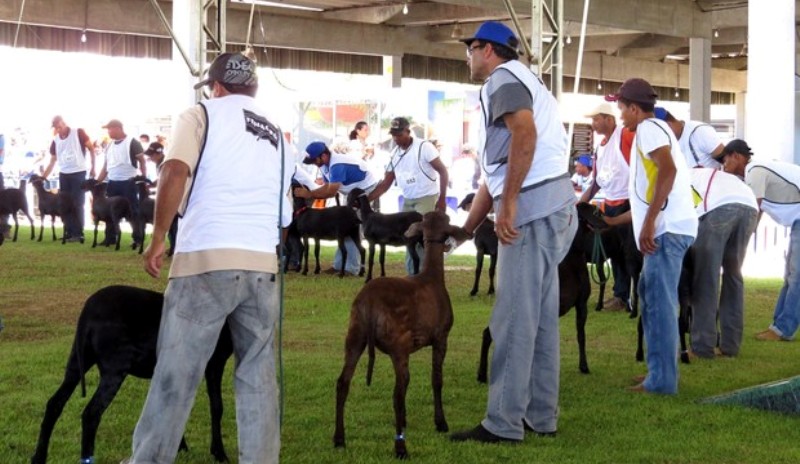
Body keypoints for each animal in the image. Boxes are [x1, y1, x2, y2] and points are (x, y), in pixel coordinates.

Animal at [31, 284, 231, 464]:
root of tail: (87, 313)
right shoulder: (214, 362)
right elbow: (216, 406)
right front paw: (219, 453)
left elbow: (174, 403)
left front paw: (180, 447)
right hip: (115, 366)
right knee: (91, 413)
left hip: (77, 361)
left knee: (54, 403)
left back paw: (38, 458)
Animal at [334, 212, 472, 458]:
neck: (432, 276)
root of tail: (369, 302)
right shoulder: (441, 338)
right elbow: (437, 380)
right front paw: (441, 423)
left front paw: (407, 420)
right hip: (397, 345)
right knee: (397, 393)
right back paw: (401, 448)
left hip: (355, 335)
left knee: (343, 383)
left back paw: (339, 439)